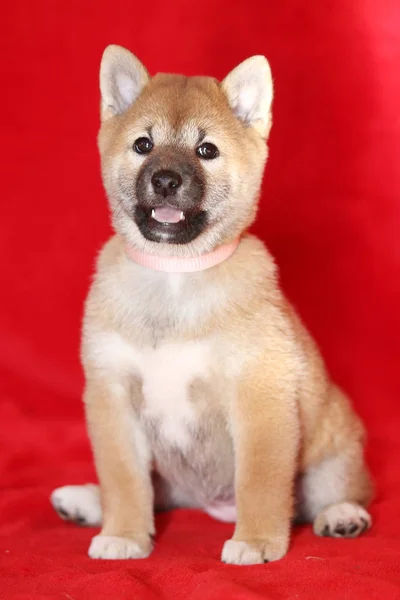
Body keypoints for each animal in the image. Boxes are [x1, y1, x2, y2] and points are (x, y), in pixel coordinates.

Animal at [51, 44, 374, 564]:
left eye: (207, 151)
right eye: (143, 145)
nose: (165, 180)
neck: (175, 275)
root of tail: (211, 505)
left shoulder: (258, 397)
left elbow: (261, 481)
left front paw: (256, 541)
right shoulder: (113, 399)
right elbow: (124, 480)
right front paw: (125, 533)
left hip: (333, 450)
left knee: (342, 489)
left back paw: (342, 516)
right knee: (156, 493)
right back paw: (84, 501)